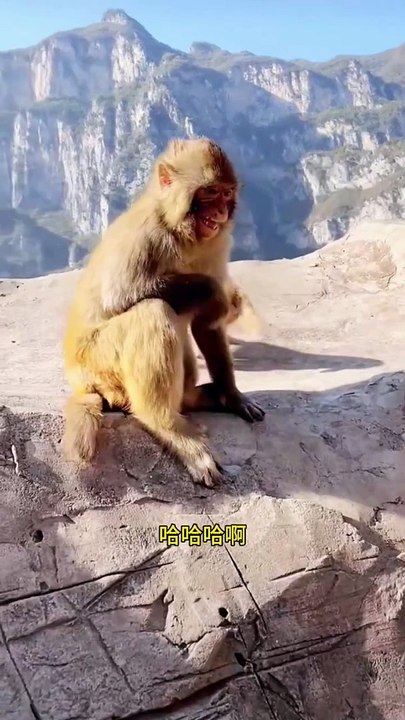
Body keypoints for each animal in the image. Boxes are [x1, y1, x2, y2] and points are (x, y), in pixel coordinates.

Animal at [62, 136, 265, 487]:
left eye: (226, 194)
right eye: (209, 193)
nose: (221, 211)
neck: (180, 230)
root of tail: (81, 381)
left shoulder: (217, 241)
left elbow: (207, 326)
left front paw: (232, 395)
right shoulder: (145, 235)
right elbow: (119, 297)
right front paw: (212, 292)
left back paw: (199, 398)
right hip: (98, 363)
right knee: (152, 312)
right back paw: (167, 426)